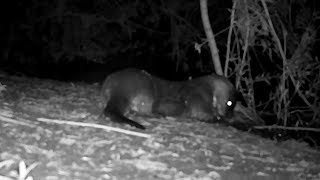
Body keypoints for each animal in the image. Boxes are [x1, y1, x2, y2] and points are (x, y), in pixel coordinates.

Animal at [101, 68, 236, 129]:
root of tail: (116, 84)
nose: (231, 115)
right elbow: (215, 118)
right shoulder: (200, 103)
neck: (206, 88)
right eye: (229, 103)